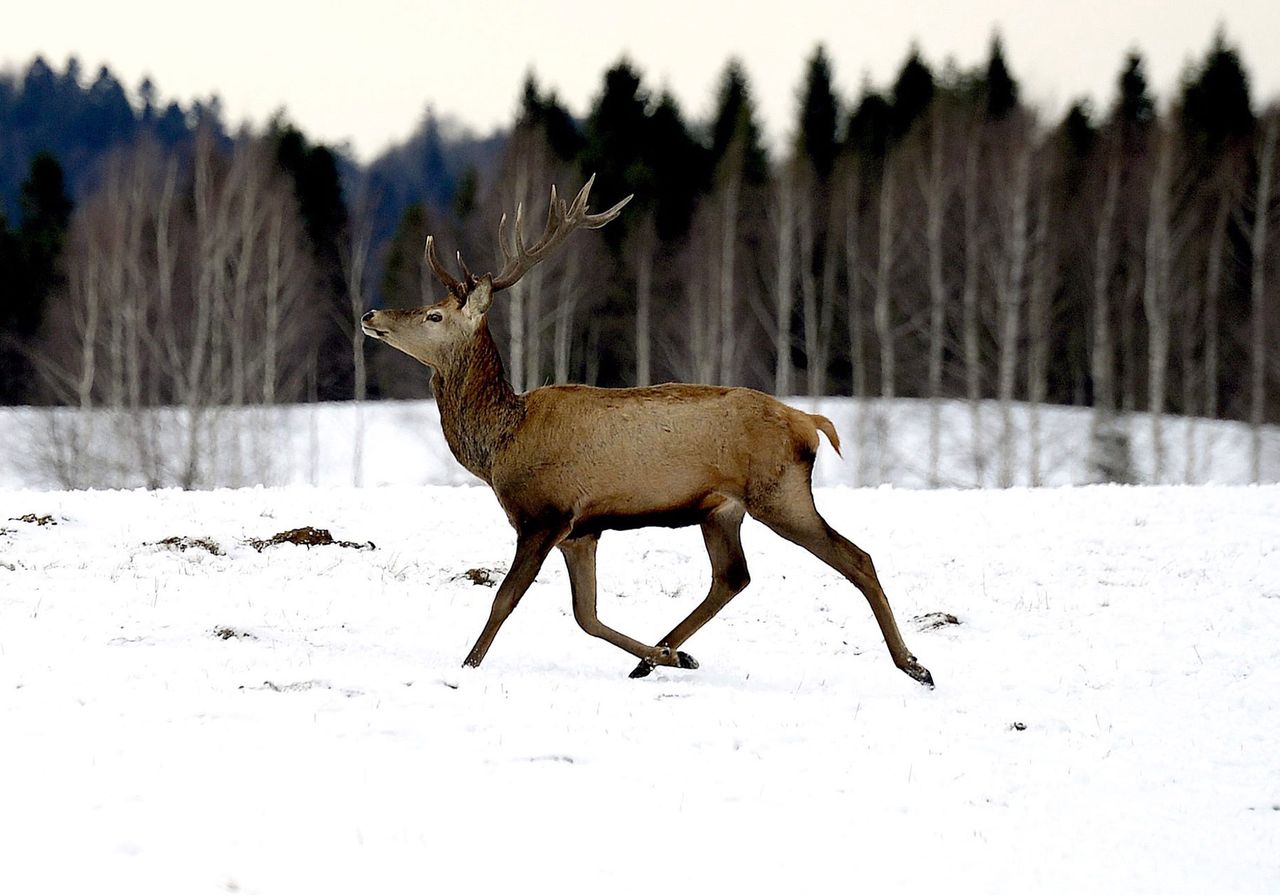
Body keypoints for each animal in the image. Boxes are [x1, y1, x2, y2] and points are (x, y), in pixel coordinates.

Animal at [360, 177, 931, 691]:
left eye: (434, 314)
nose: (370, 314)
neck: (499, 444)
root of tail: (810, 422)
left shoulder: (544, 513)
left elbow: (505, 600)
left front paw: (466, 667)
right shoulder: (582, 530)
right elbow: (585, 614)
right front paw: (671, 658)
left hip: (779, 492)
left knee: (856, 558)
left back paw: (913, 665)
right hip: (720, 509)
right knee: (732, 577)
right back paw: (662, 655)